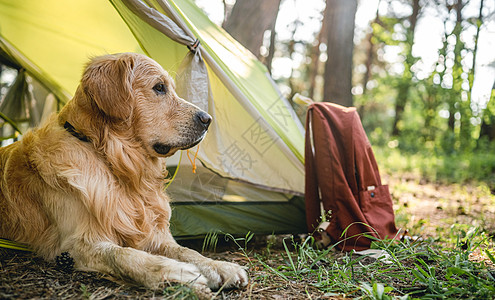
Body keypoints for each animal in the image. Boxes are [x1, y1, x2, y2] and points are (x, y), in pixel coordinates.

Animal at [0, 52, 248, 292]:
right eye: (159, 87)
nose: (208, 119)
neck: (116, 163)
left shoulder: (154, 235)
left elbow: (186, 250)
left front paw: (219, 266)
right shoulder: (76, 245)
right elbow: (123, 254)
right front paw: (176, 272)